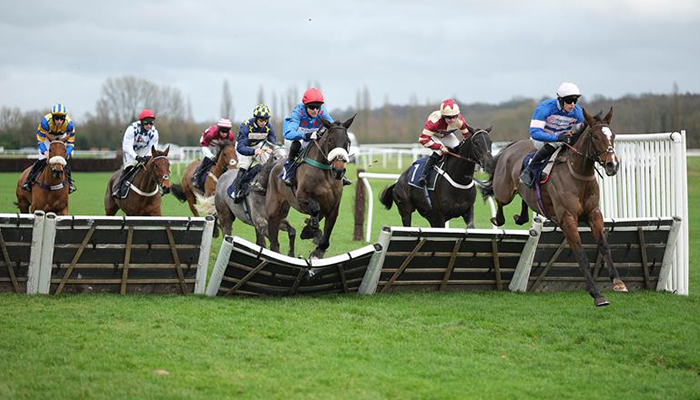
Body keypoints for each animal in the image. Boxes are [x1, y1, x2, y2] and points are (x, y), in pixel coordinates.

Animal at [266, 115, 358, 260]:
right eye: (330, 140)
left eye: (347, 141)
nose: (339, 171)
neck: (325, 173)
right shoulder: (301, 198)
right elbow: (315, 208)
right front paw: (310, 229)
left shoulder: (333, 207)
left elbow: (325, 239)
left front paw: (315, 248)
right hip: (273, 210)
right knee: (273, 240)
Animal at [484, 106, 628, 306]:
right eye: (595, 136)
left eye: (612, 135)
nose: (612, 165)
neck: (578, 175)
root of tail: (511, 147)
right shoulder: (567, 219)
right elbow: (581, 255)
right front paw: (597, 295)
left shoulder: (594, 213)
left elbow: (604, 245)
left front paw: (618, 282)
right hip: (504, 191)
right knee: (499, 200)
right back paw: (499, 219)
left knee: (524, 197)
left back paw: (521, 217)